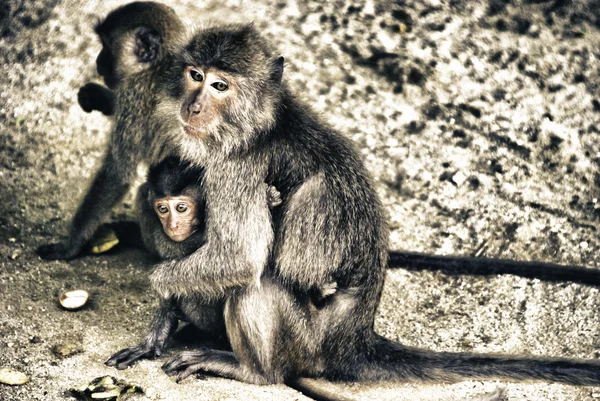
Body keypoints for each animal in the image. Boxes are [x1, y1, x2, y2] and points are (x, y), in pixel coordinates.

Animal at [106, 24, 600, 384]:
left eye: (220, 85)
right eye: (195, 75)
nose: (192, 106)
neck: (264, 122)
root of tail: (355, 340)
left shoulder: (236, 167)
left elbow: (239, 258)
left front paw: (160, 286)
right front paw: (160, 324)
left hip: (305, 343)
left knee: (255, 283)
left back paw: (252, 370)